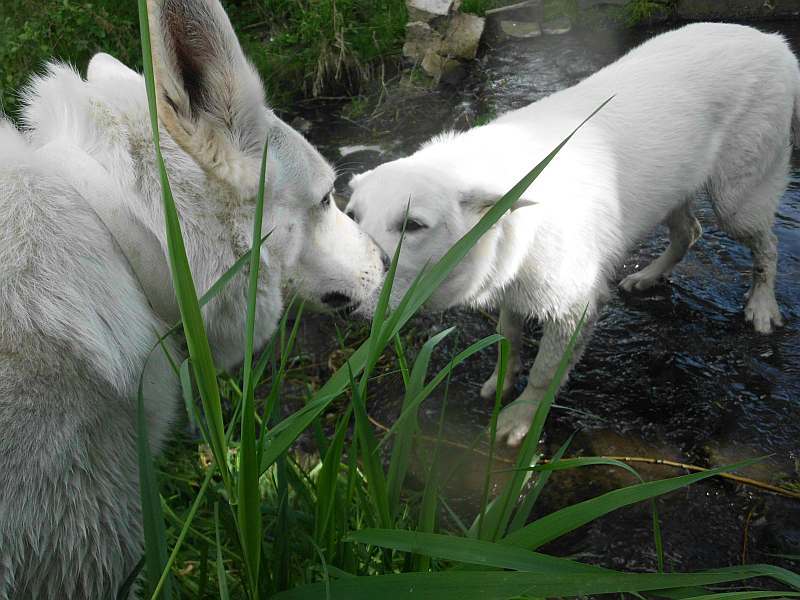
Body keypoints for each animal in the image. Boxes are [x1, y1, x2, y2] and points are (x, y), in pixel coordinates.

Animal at [348, 25, 800, 448]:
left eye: (413, 225)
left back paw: (762, 306)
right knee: (690, 232)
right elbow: (509, 337)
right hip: (674, 190)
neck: (515, 198)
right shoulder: (513, 282)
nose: (341, 293)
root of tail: (775, 43)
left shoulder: (573, 307)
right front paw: (502, 382)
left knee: (767, 246)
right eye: (352, 218)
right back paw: (647, 277)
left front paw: (520, 419)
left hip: (736, 200)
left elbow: (545, 372)